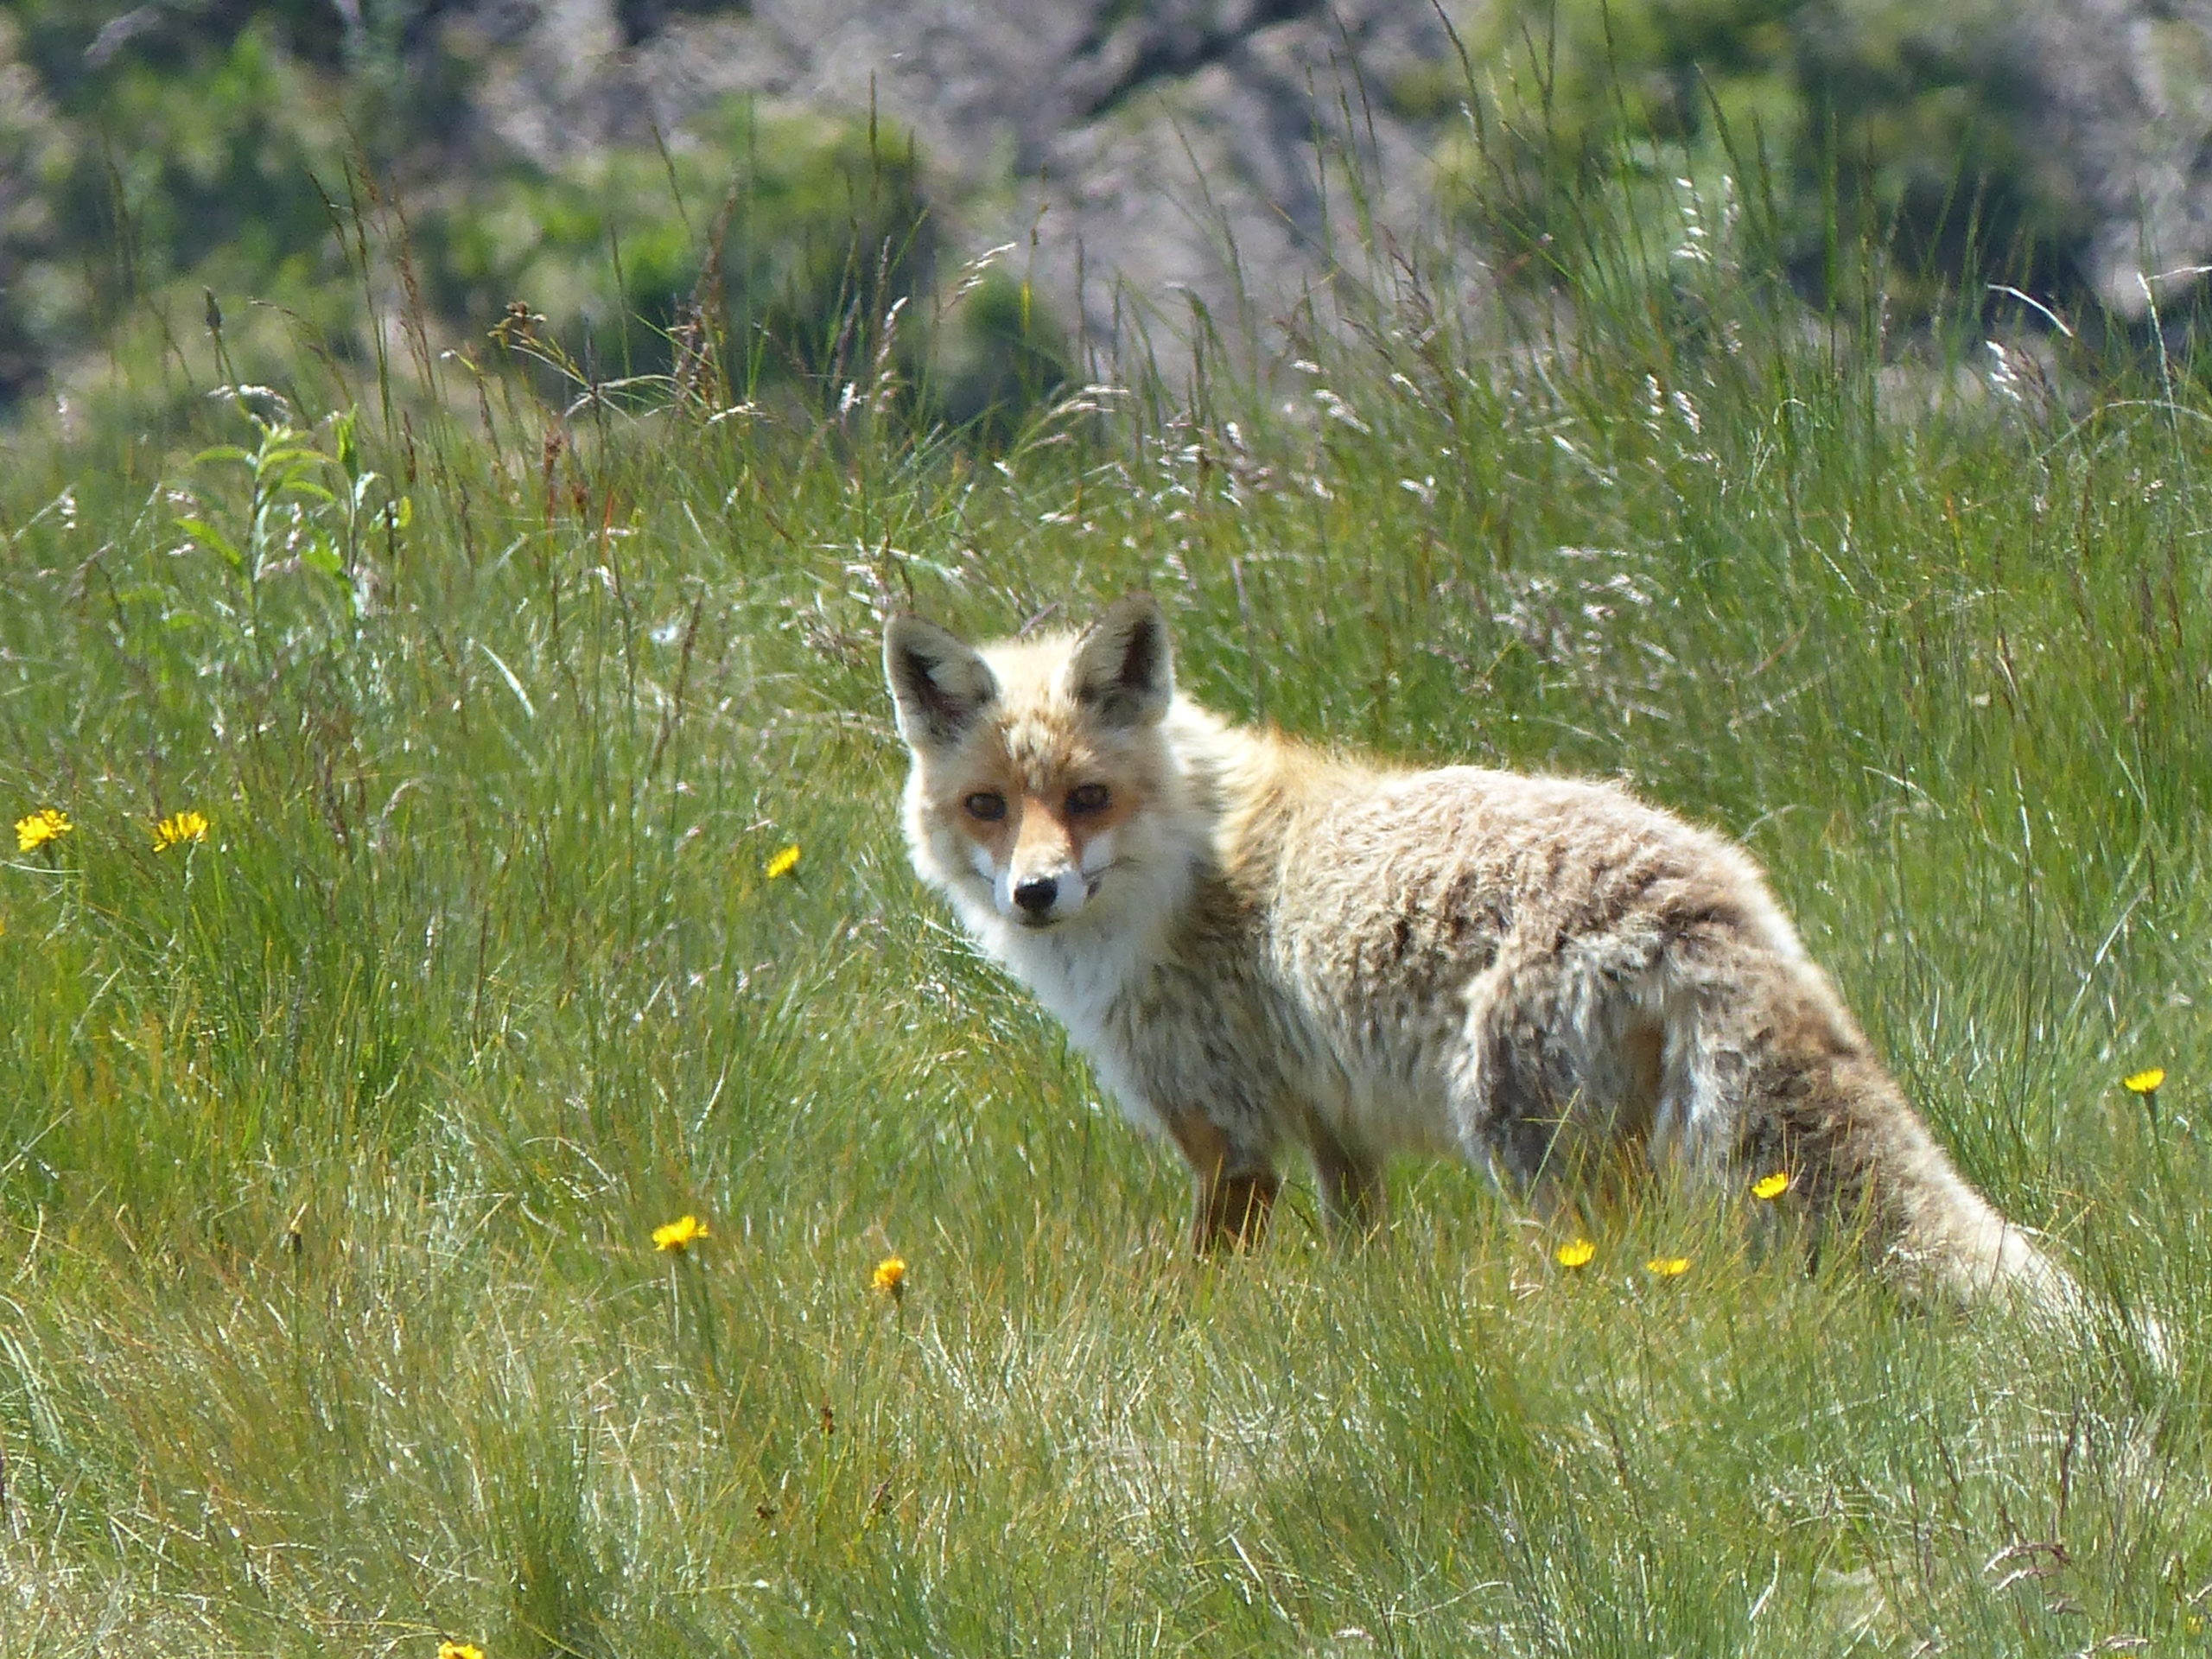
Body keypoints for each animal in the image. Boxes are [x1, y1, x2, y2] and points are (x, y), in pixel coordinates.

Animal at [883, 592, 2077, 1314]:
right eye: (989, 807)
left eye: (1088, 799)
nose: (1035, 894)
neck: (1183, 857)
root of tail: (1691, 885)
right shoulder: (1333, 1129)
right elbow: (1358, 1251)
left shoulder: (1227, 1135)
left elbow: (1206, 1288)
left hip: (1526, 1150)